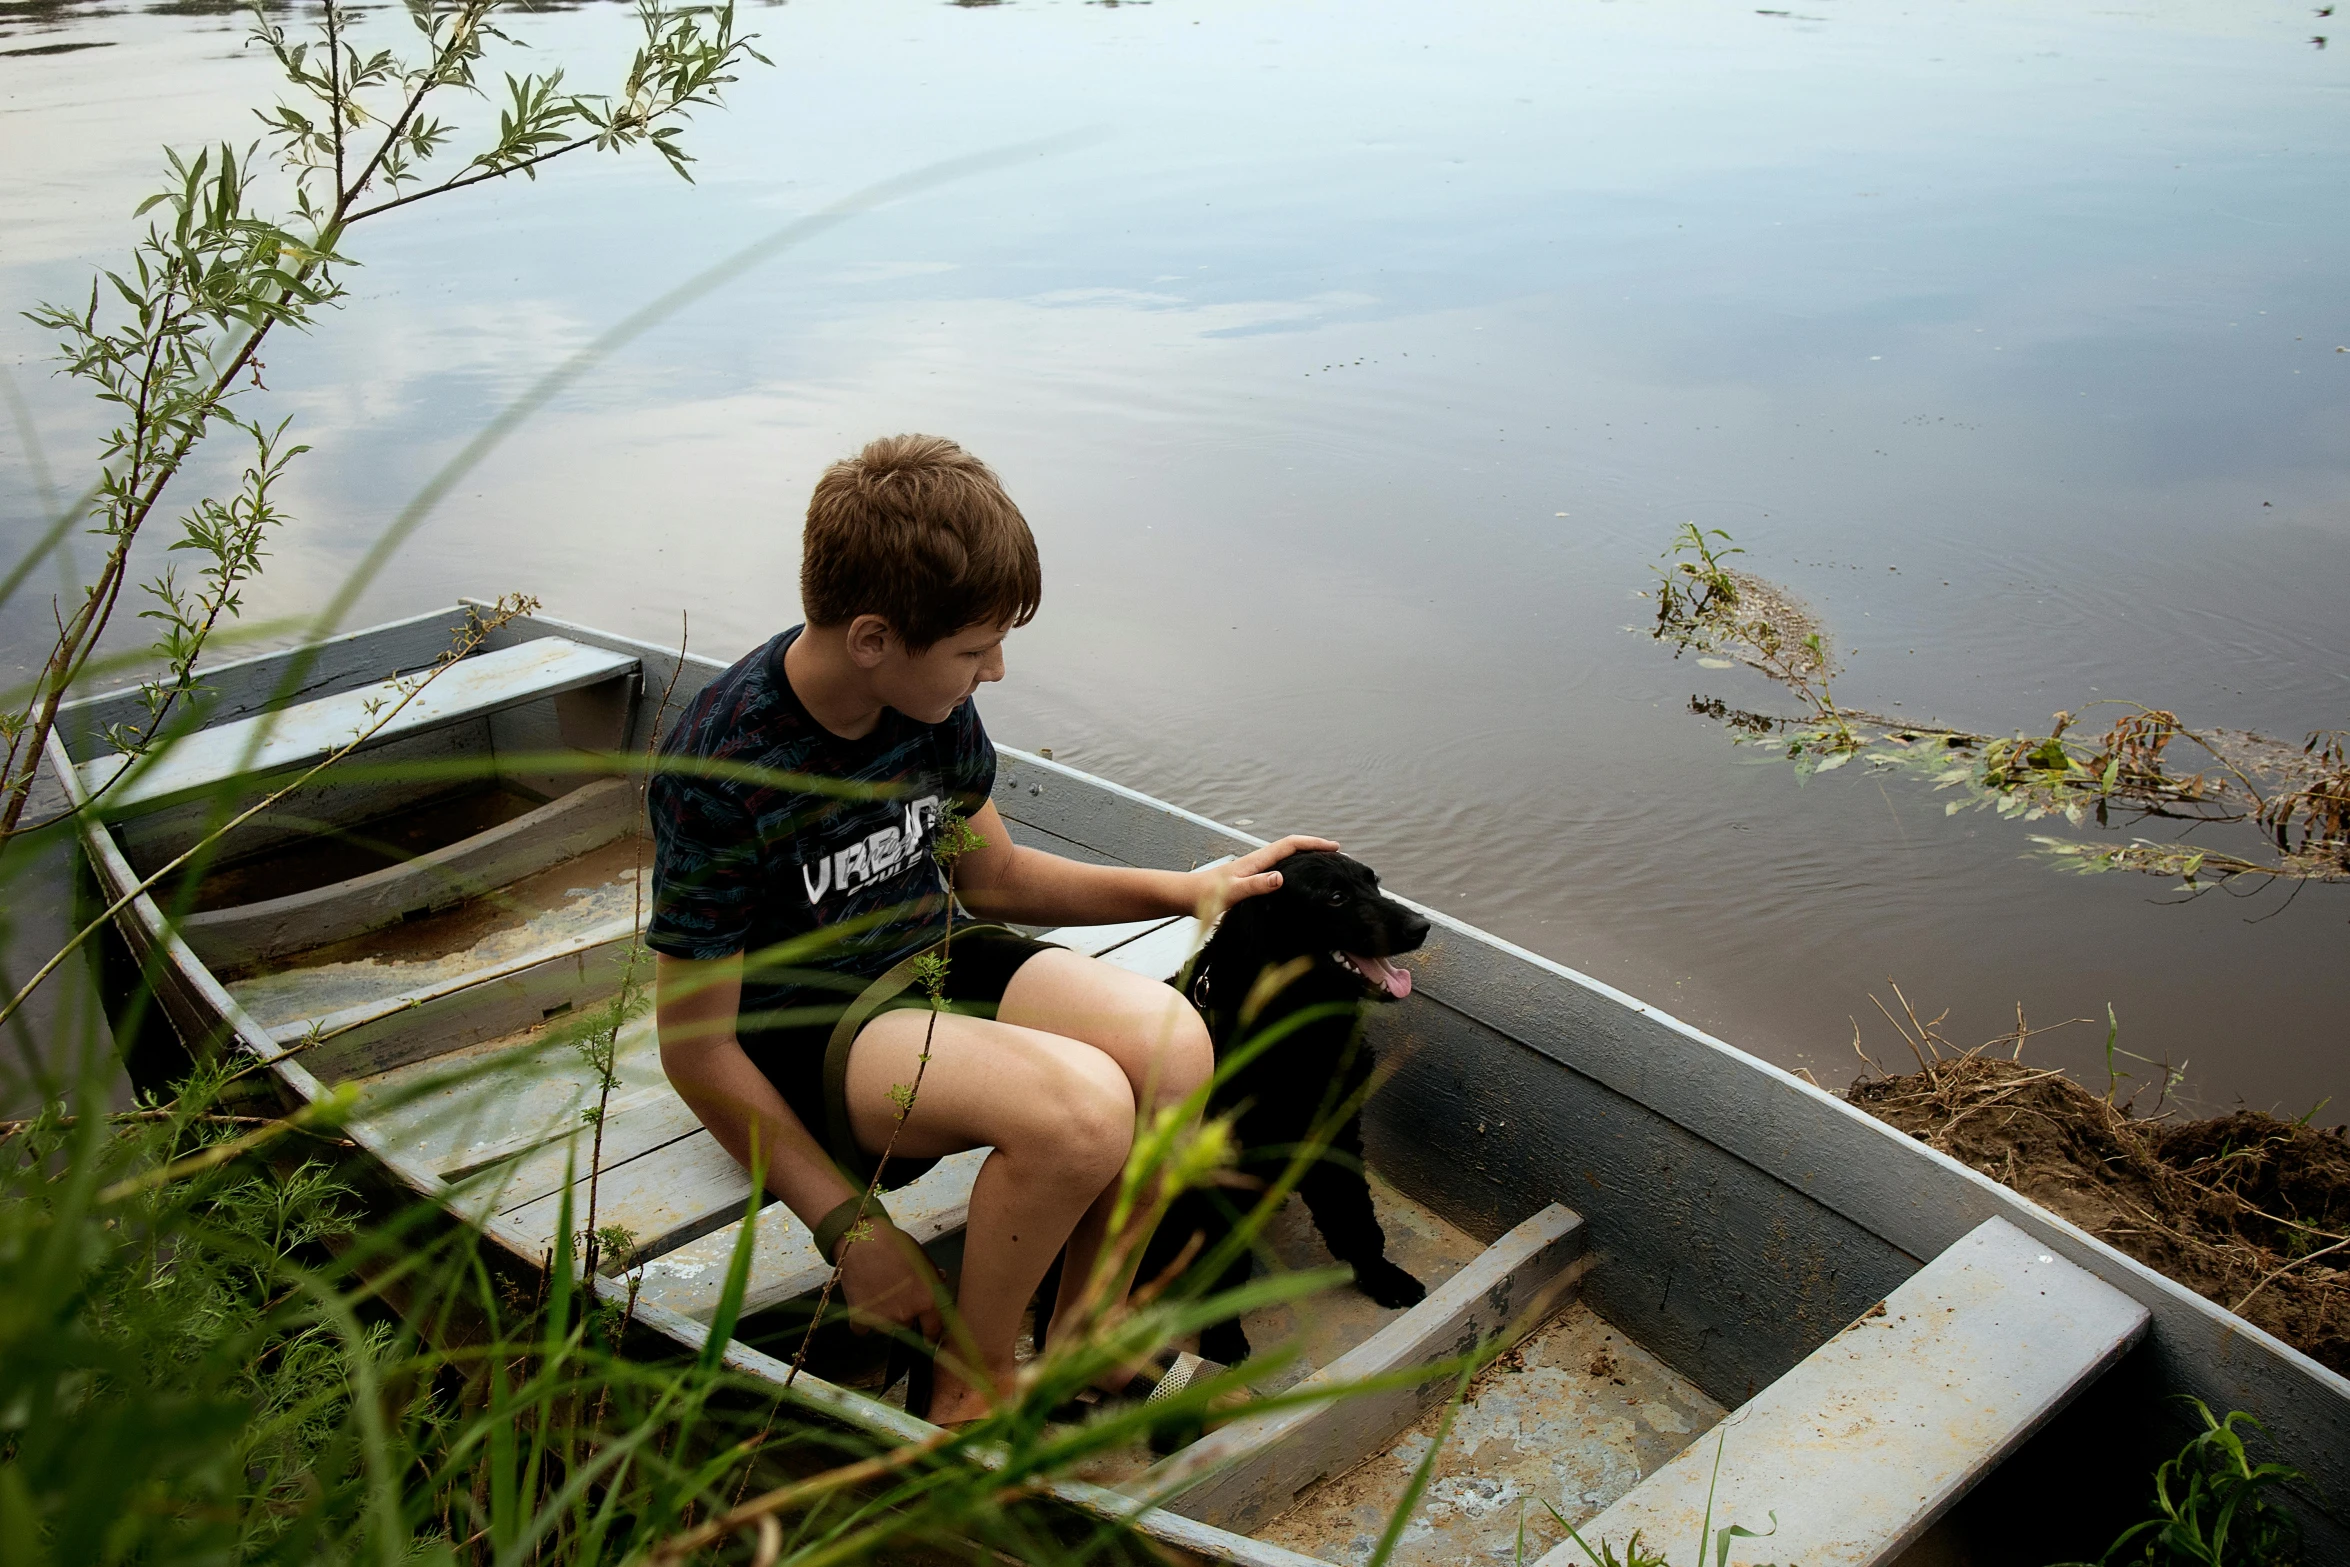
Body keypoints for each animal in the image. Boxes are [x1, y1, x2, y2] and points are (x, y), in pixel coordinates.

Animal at [1137, 850, 1428, 1362]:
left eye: (1374, 882)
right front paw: (1222, 1336)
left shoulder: (1336, 1134)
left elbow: (1355, 1217)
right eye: (1336, 896)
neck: (1296, 1036)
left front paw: (1380, 1276)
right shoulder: (1217, 1170)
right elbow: (1223, 1262)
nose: (1421, 926)